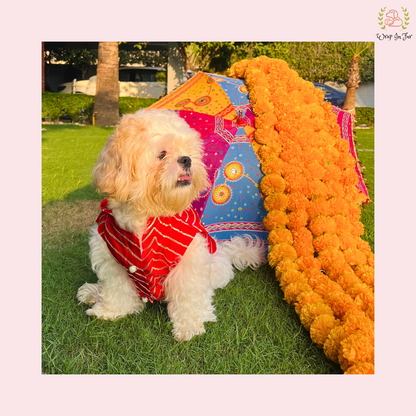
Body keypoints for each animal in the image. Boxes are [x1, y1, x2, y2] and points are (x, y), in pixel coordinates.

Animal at [76, 107, 264, 342]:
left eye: (189, 151)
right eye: (162, 154)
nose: (186, 159)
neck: (148, 214)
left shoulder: (189, 260)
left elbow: (189, 294)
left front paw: (189, 326)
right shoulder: (111, 257)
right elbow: (116, 289)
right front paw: (111, 311)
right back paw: (93, 292)